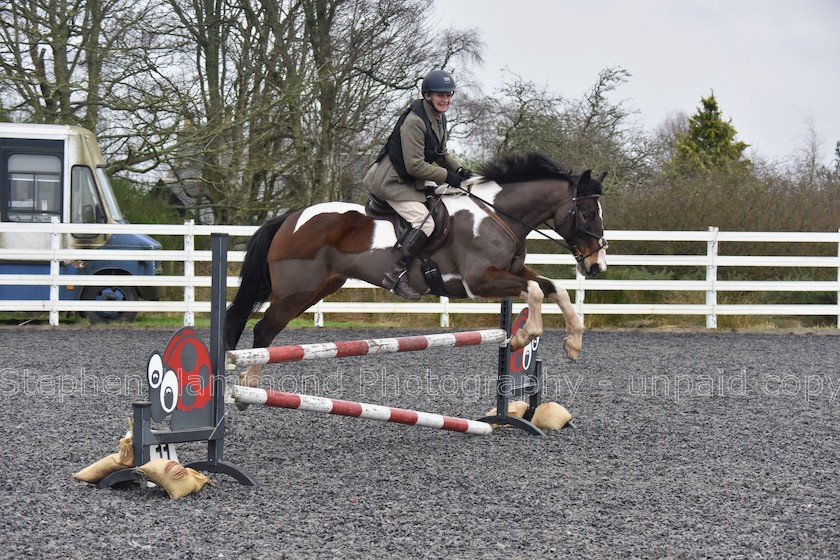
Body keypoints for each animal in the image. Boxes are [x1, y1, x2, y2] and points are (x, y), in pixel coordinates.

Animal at [226, 151, 608, 392]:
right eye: (587, 213)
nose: (596, 266)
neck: (496, 213)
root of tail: (289, 219)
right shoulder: (480, 281)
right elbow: (535, 291)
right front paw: (521, 338)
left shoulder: (511, 270)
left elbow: (552, 287)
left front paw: (574, 343)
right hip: (297, 291)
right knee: (263, 330)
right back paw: (248, 386)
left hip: (320, 288)